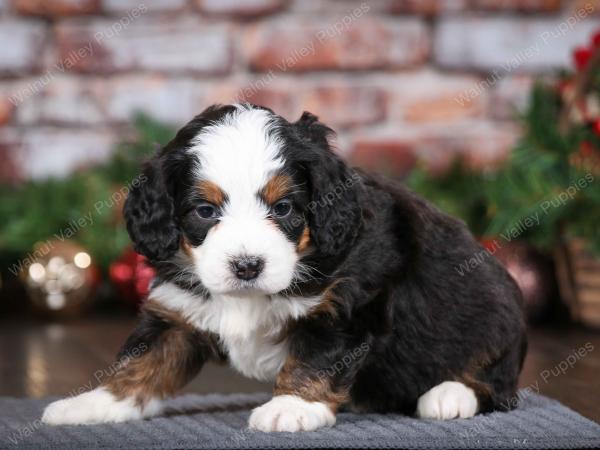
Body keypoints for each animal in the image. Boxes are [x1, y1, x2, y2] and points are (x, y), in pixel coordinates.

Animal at [42, 103, 528, 430]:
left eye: (284, 208)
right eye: (204, 211)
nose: (246, 265)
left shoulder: (347, 304)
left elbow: (317, 356)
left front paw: (292, 407)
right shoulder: (177, 312)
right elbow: (140, 362)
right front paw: (93, 403)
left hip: (495, 312)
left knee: (497, 383)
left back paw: (448, 394)